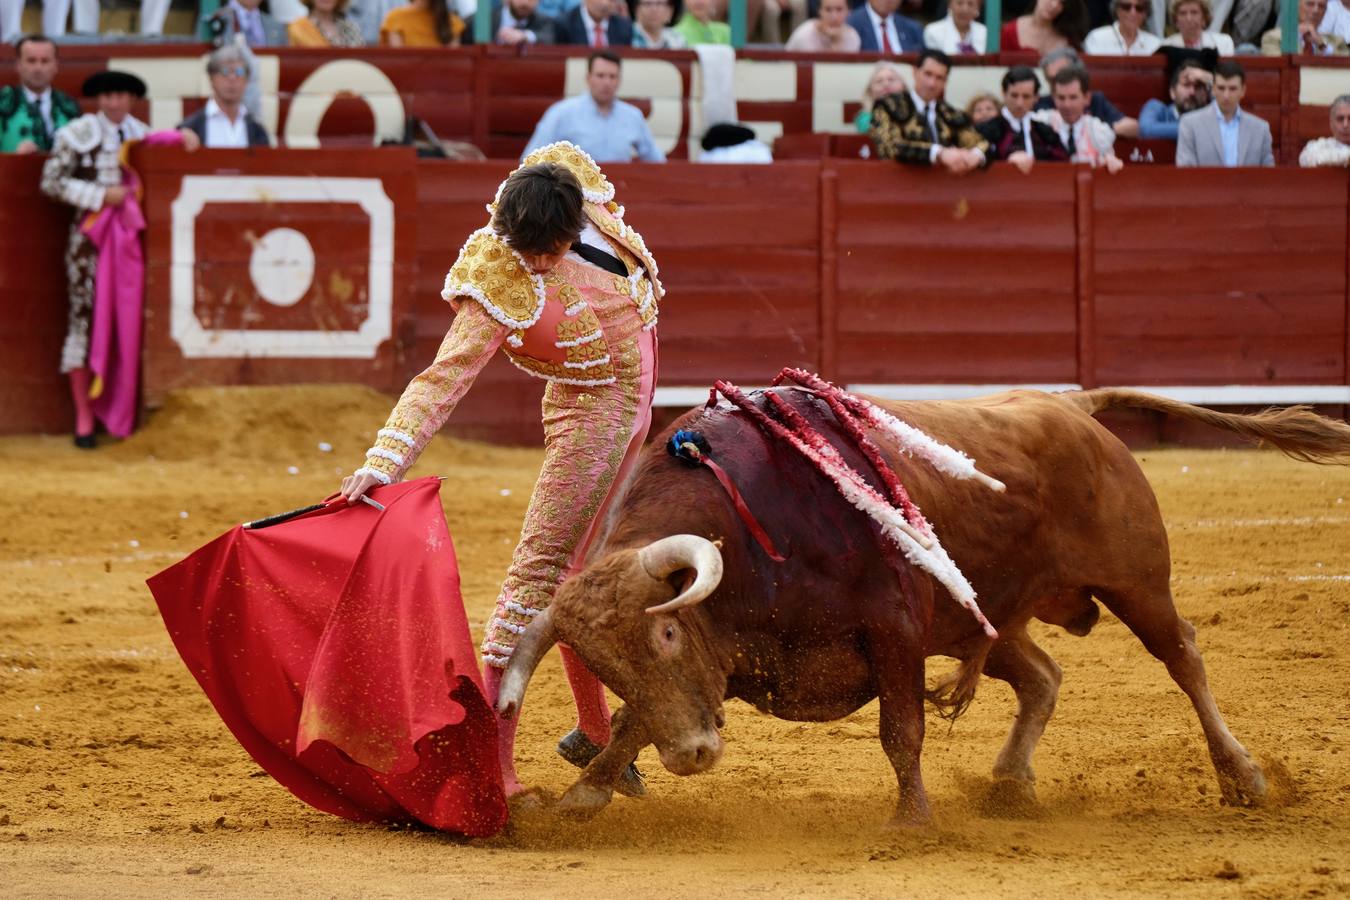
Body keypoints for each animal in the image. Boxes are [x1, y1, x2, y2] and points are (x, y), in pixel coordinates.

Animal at [496, 388, 1350, 825]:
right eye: (607, 663)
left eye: (669, 631)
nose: (693, 759)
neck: (756, 525)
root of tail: (1071, 404)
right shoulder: (719, 669)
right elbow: (637, 720)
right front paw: (583, 794)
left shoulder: (894, 631)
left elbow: (900, 731)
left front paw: (912, 822)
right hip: (984, 616)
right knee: (1043, 677)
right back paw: (1009, 783)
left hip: (1137, 583)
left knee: (1184, 657)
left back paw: (1243, 778)